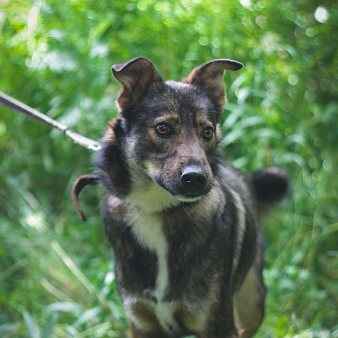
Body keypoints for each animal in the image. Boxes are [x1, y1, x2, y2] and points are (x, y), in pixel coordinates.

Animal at [72, 56, 288, 336]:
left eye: (207, 132)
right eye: (163, 128)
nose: (196, 178)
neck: (155, 209)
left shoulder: (216, 322)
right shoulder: (141, 321)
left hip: (252, 303)